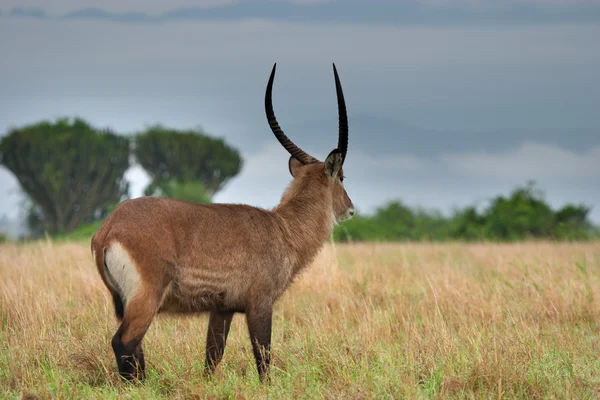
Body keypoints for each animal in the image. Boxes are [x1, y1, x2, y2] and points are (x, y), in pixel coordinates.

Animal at [91, 62, 354, 382]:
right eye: (342, 177)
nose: (350, 209)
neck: (283, 229)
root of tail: (109, 228)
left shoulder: (222, 309)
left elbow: (212, 356)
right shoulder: (260, 304)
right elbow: (263, 356)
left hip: (126, 304)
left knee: (135, 348)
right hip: (146, 300)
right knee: (124, 342)